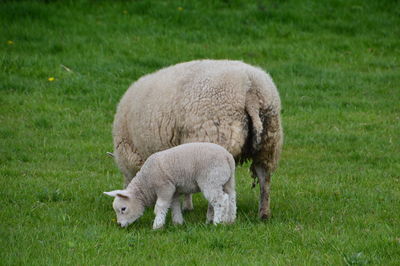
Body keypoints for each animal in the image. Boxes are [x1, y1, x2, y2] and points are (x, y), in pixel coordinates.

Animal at [103, 142, 236, 230]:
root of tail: (227, 156)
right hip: (227, 180)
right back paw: (230, 220)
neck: (146, 183)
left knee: (221, 200)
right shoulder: (174, 190)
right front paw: (178, 223)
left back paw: (218, 222)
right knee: (231, 198)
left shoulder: (165, 187)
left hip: (210, 180)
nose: (119, 225)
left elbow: (160, 206)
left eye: (123, 209)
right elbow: (175, 205)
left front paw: (157, 225)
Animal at [111, 59, 282, 219]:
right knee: (264, 179)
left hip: (215, 142)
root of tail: (250, 87)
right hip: (269, 142)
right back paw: (264, 213)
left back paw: (211, 216)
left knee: (216, 190)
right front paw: (187, 206)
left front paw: (186, 207)